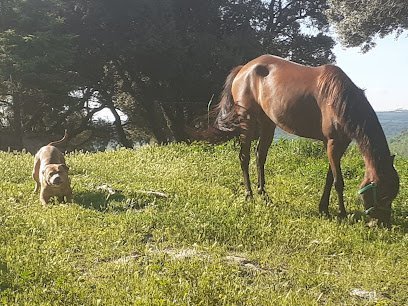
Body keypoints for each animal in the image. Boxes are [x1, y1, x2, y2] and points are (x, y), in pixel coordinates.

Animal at [210, 55, 398, 226]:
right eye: (383, 194)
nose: (383, 223)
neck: (339, 98)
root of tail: (243, 69)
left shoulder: (339, 144)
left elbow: (329, 178)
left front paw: (323, 209)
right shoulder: (333, 143)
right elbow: (338, 181)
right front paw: (342, 214)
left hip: (268, 123)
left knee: (260, 156)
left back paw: (264, 195)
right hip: (246, 123)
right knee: (244, 157)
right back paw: (249, 195)